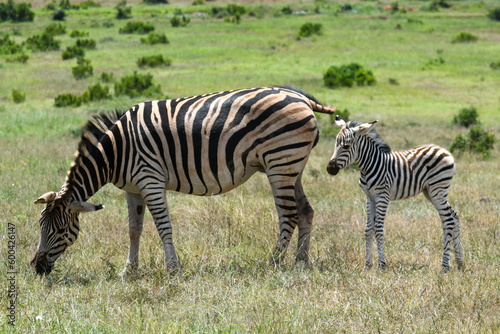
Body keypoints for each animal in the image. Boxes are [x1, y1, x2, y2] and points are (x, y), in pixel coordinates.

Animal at [30, 85, 336, 274]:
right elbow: (134, 229)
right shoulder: (133, 189)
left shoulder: (150, 180)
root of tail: (301, 98)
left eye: (60, 230)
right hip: (291, 165)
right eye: (40, 226)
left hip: (280, 163)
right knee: (305, 211)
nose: (36, 267)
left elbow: (163, 227)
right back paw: (300, 262)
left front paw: (172, 268)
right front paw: (129, 270)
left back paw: (273, 262)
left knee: (289, 215)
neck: (116, 152)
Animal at [326, 116, 462, 270]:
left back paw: (445, 266)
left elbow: (378, 229)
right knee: (453, 217)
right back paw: (459, 262)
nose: (330, 169)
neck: (369, 166)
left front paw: (381, 264)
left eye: (346, 146)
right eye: (336, 143)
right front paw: (367, 265)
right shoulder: (370, 197)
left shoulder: (382, 196)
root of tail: (445, 151)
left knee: (448, 220)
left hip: (437, 189)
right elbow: (368, 229)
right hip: (431, 192)